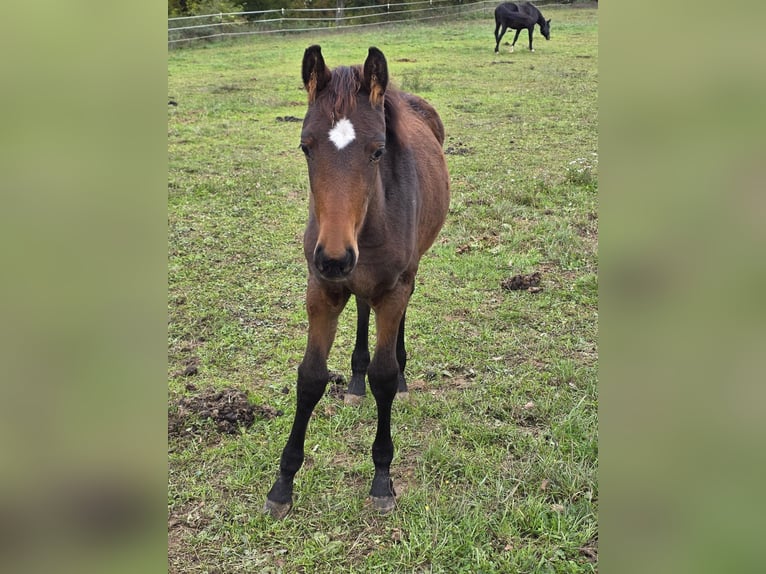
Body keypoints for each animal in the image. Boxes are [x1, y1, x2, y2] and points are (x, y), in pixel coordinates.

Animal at [263, 45, 450, 519]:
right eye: (305, 147)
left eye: (378, 151)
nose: (334, 257)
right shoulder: (322, 289)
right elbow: (310, 377)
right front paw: (282, 484)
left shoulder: (393, 288)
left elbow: (383, 375)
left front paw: (382, 478)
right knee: (362, 305)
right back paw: (354, 380)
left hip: (407, 273)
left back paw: (400, 379)